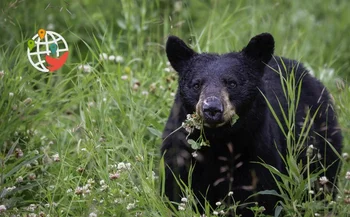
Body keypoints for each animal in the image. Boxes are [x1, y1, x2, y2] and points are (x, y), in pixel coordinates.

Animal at [161, 32, 342, 215]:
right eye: (196, 84)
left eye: (232, 83)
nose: (212, 108)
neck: (219, 140)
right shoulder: (180, 150)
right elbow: (176, 187)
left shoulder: (258, 149)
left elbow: (259, 194)